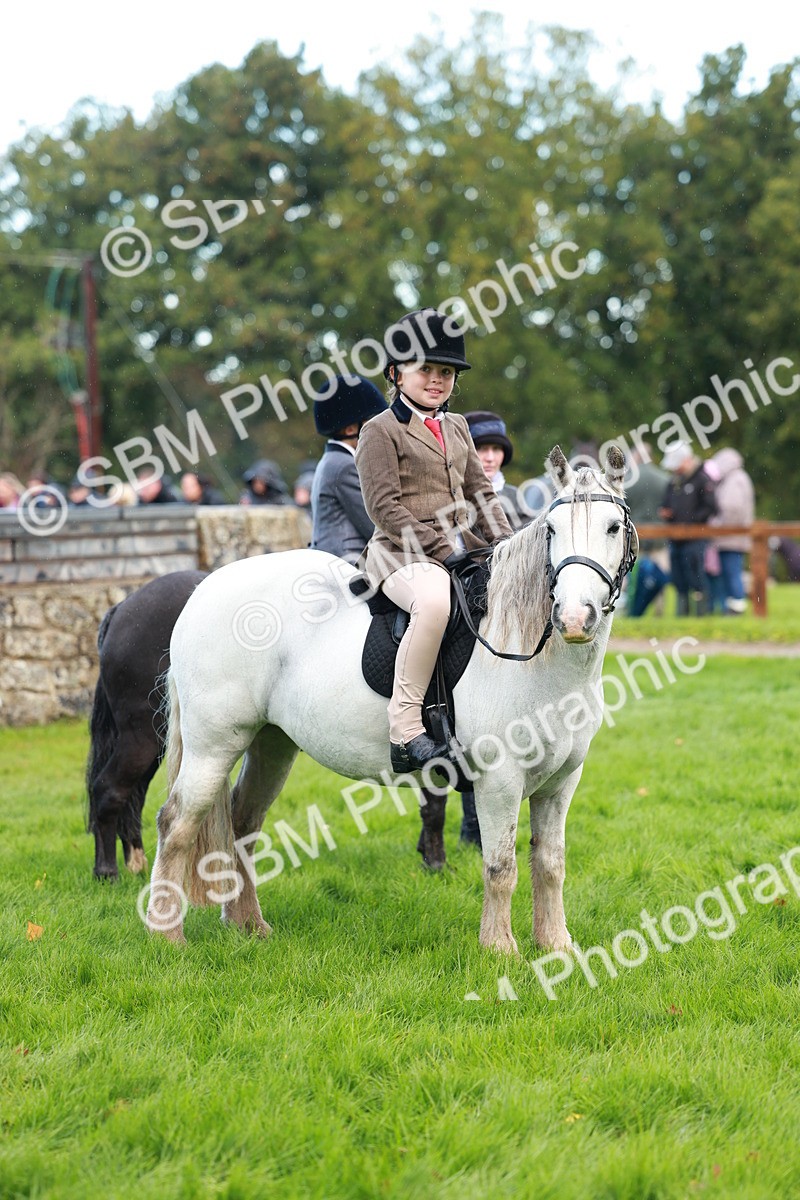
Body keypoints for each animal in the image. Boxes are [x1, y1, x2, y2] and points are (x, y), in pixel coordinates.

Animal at [86, 570, 208, 879]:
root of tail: (121, 610)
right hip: (141, 738)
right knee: (108, 789)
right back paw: (107, 871)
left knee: (133, 796)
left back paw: (135, 863)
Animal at [146, 446, 637, 953]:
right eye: (552, 530)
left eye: (613, 527)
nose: (574, 618)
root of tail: (203, 590)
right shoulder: (499, 780)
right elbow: (501, 866)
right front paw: (500, 949)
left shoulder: (561, 783)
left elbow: (551, 864)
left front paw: (556, 945)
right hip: (215, 744)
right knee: (175, 823)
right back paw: (167, 935)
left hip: (271, 743)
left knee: (243, 823)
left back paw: (249, 926)